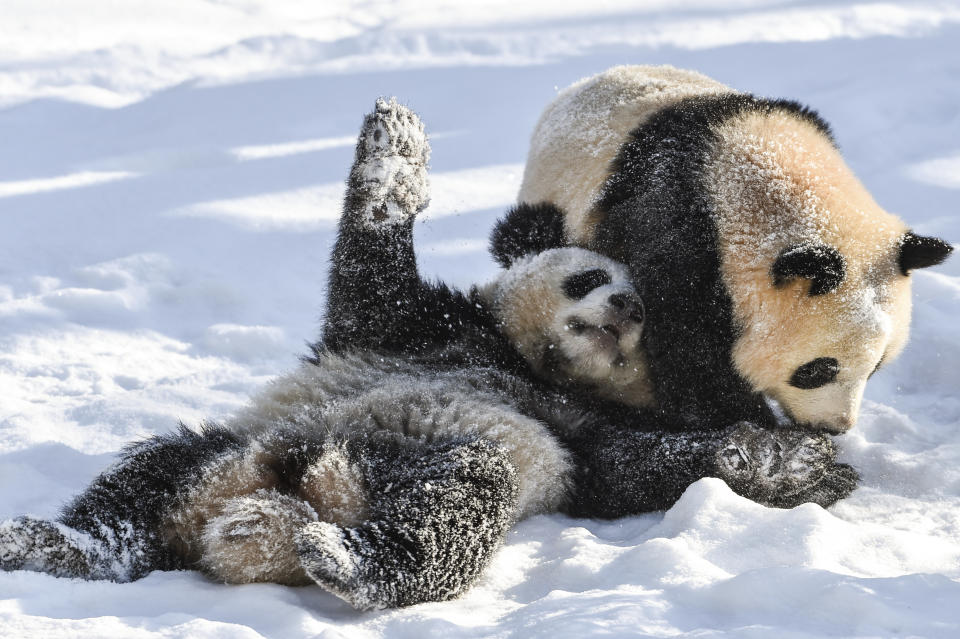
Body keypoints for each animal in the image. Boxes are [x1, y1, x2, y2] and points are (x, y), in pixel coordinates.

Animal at [0, 99, 856, 608]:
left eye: (647, 320)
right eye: (593, 275)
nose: (626, 308)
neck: (523, 361)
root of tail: (262, 505)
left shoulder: (580, 434)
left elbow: (650, 463)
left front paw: (798, 463)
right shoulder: (410, 329)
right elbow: (371, 267)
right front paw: (396, 140)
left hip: (440, 460)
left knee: (456, 505)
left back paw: (348, 559)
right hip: (220, 448)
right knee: (136, 486)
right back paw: (49, 541)